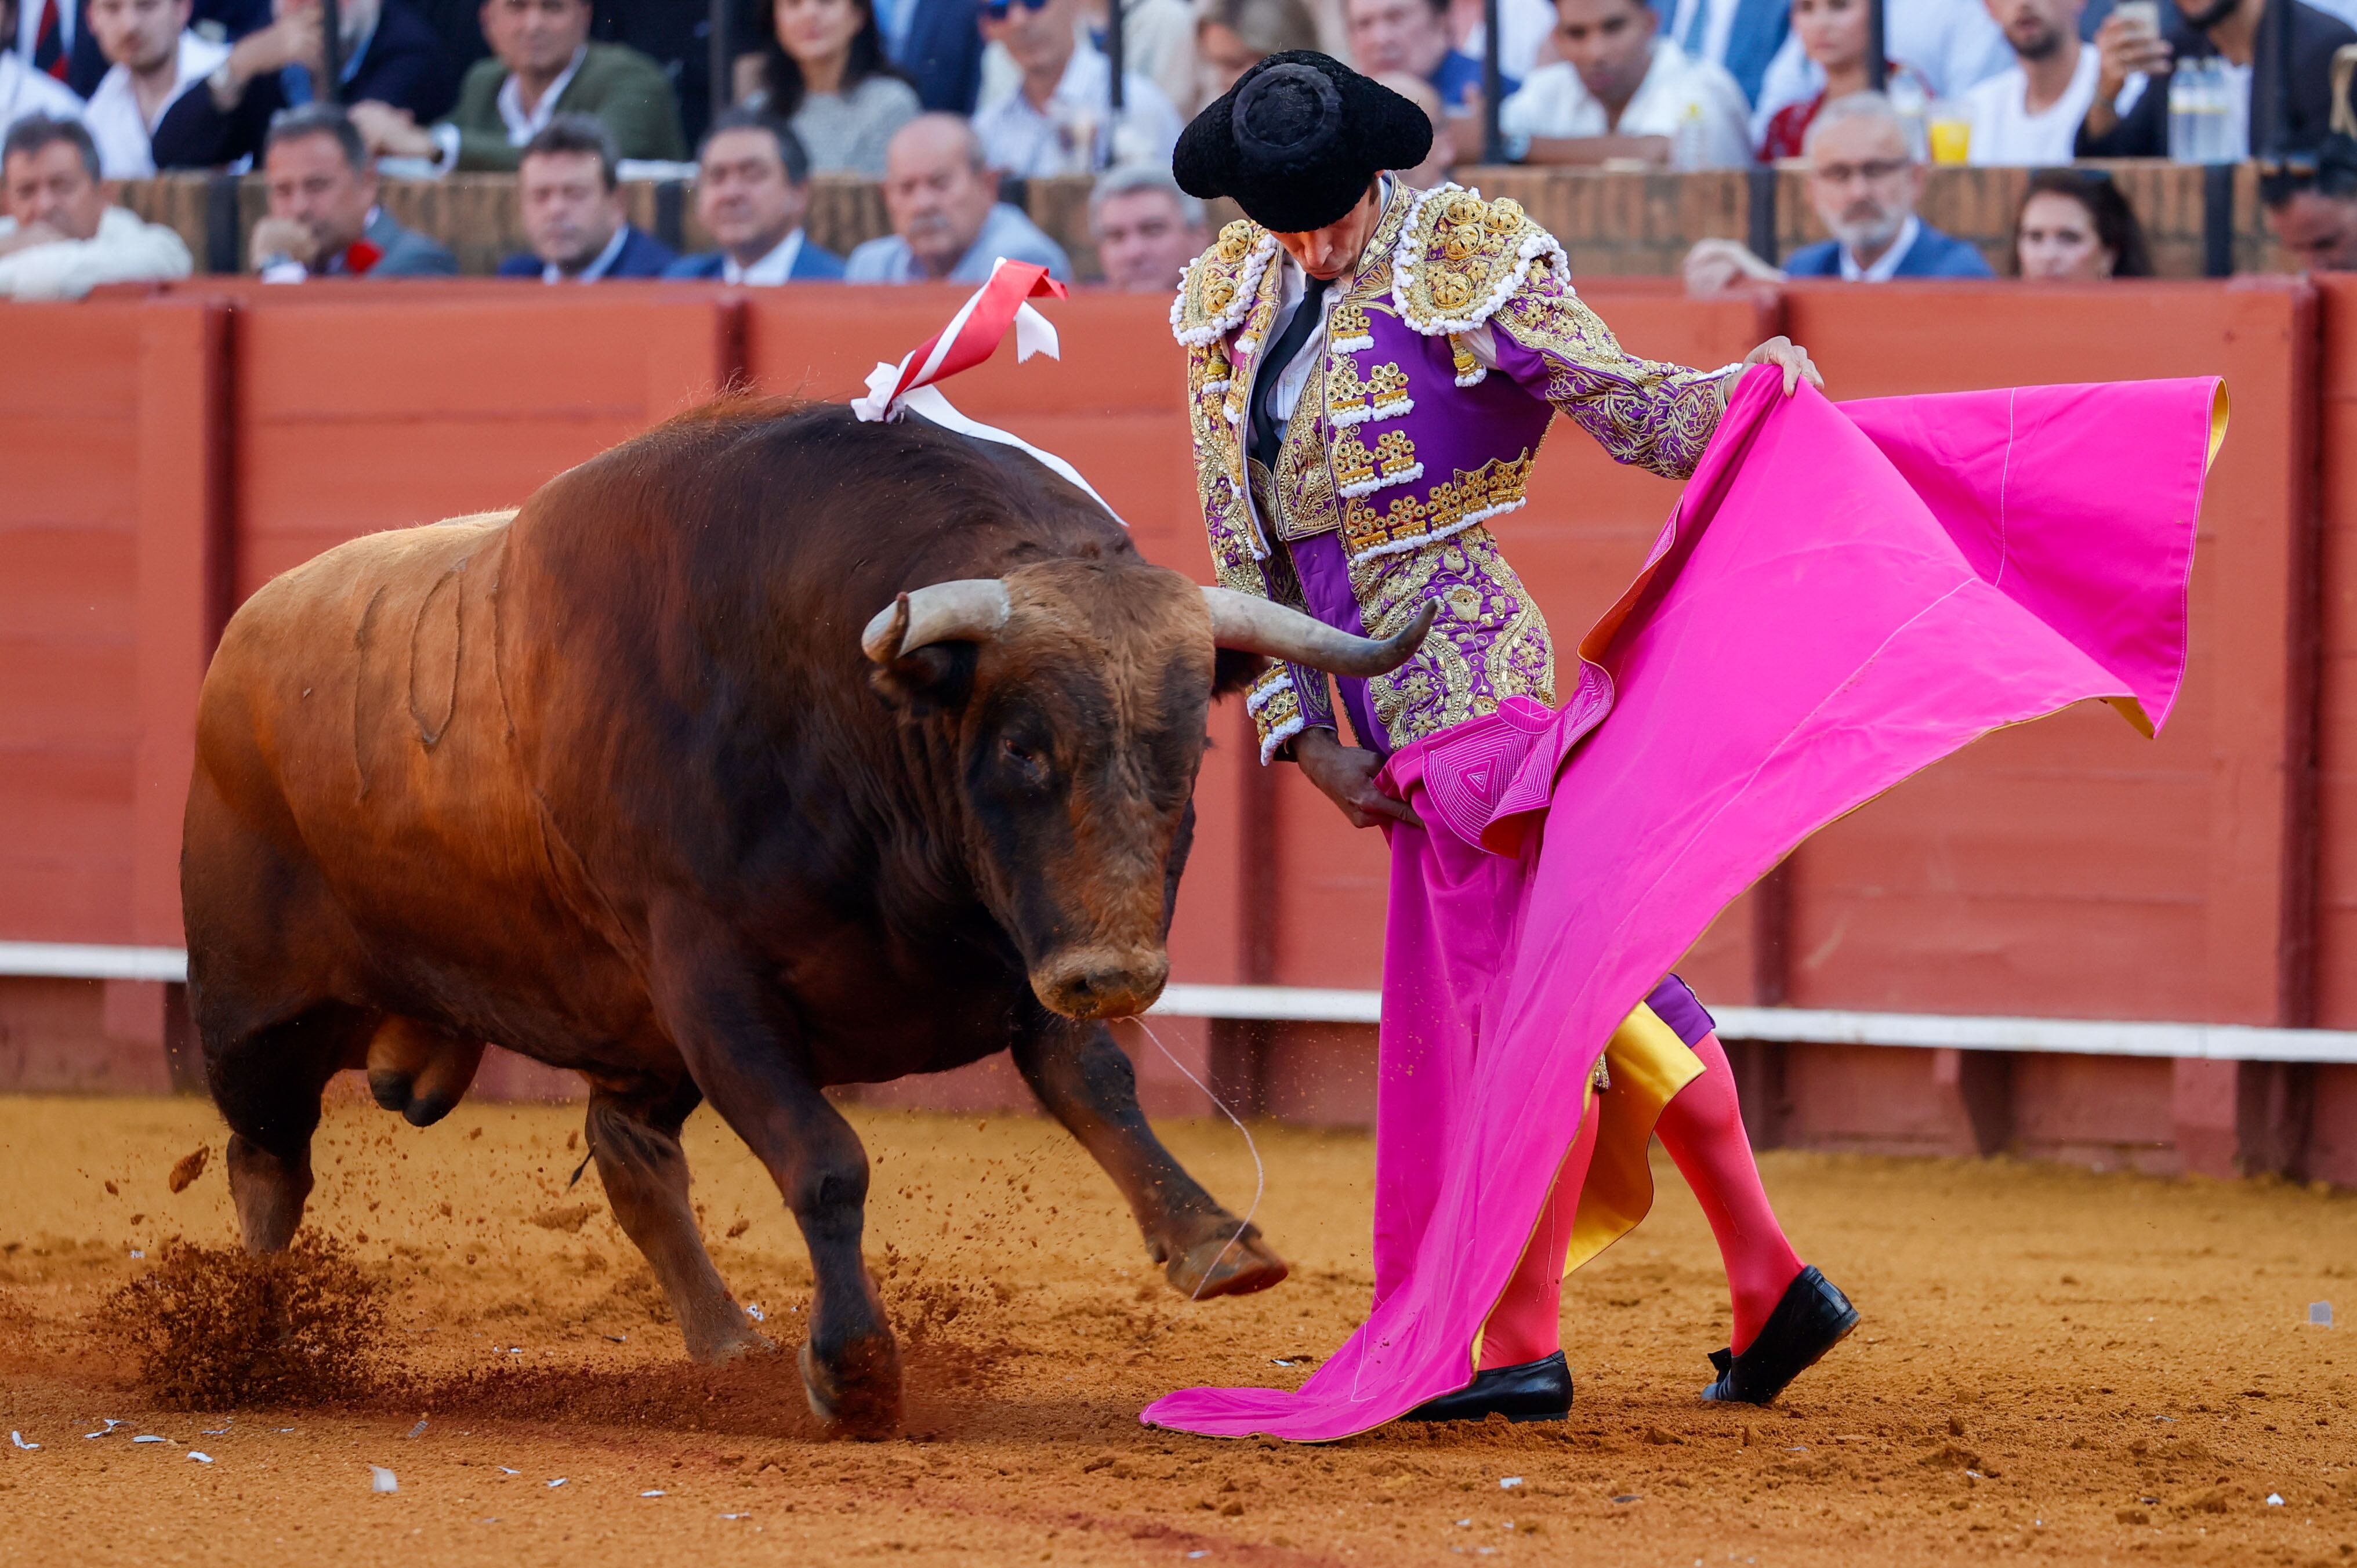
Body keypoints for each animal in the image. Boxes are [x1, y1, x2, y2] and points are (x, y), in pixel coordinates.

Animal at [179, 394, 1414, 1433]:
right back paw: (254, 1339)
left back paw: (726, 1341)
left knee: (629, 1155)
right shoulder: (712, 982)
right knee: (267, 1160)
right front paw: (854, 1372)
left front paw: (1213, 1240)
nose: (1114, 973)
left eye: (1186, 743)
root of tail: (240, 640)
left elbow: (1096, 1084)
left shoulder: (1018, 944)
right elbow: (824, 1161)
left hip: (633, 1033)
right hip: (255, 1010)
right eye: (1020, 744)